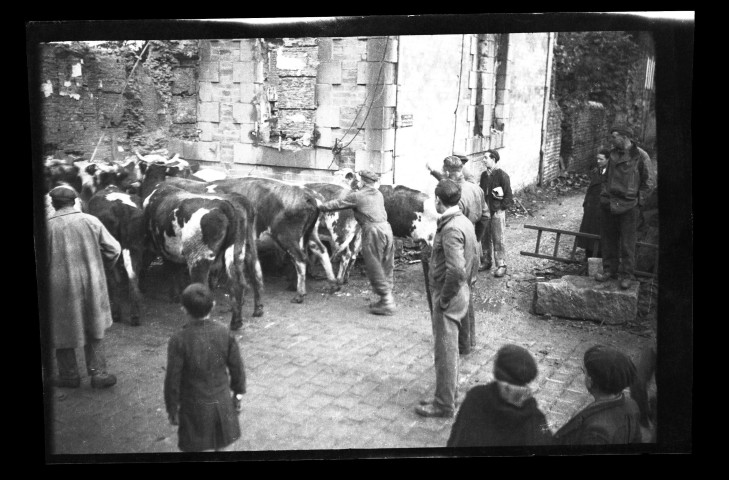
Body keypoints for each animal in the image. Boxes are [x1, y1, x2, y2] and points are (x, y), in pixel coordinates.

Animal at [140, 162, 264, 330]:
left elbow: (163, 268)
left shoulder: (158, 246)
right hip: (241, 249)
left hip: (199, 256)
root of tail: (227, 205)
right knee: (246, 278)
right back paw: (244, 317)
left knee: (202, 287)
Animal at [203, 176, 340, 304]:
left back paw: (299, 294)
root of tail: (309, 196)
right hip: (310, 233)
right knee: (321, 251)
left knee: (300, 259)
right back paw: (332, 285)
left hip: (286, 237)